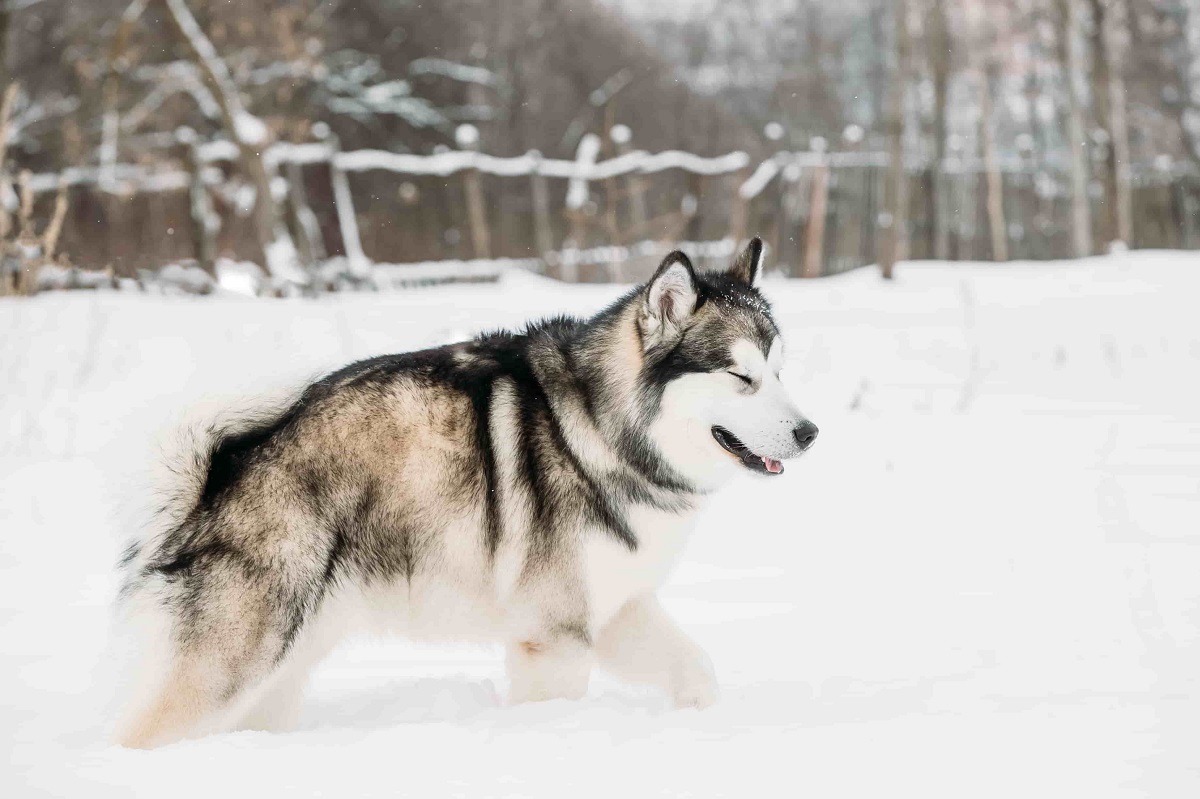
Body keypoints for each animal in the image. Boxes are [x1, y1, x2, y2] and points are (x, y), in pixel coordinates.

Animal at [110, 236, 816, 748]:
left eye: (779, 372)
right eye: (740, 376)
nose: (810, 433)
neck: (599, 427)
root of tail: (217, 477)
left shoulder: (613, 611)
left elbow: (697, 669)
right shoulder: (553, 638)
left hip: (278, 675)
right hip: (234, 665)